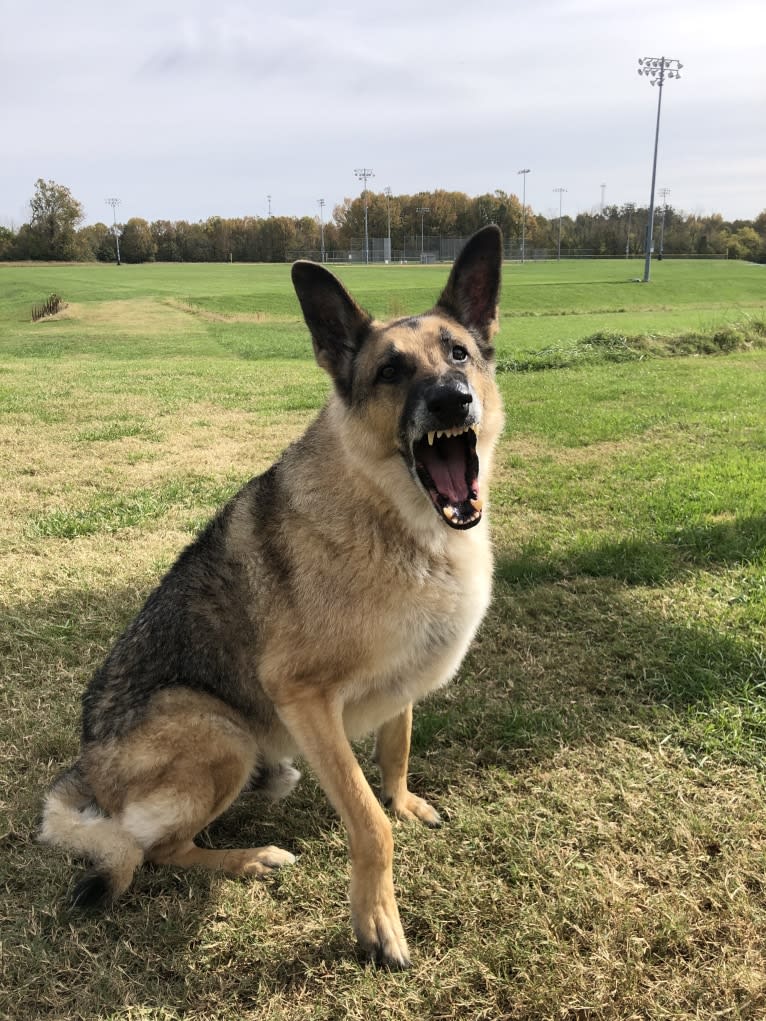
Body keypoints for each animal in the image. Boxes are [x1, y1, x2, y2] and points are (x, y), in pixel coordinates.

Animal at [43, 227, 510, 967]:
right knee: (156, 850)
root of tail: (84, 772)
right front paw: (377, 922)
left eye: (458, 352)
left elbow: (397, 748)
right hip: (219, 730)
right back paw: (249, 858)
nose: (451, 400)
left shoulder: (401, 683)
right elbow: (368, 822)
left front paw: (404, 800)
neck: (396, 516)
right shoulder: (305, 699)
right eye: (390, 372)